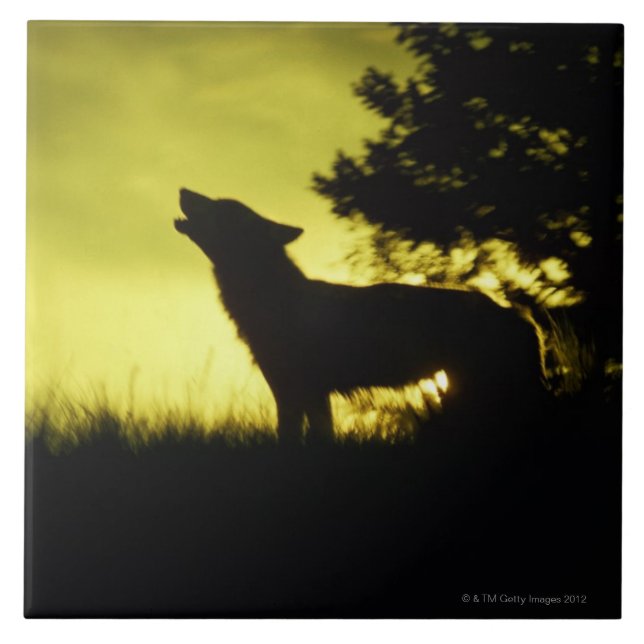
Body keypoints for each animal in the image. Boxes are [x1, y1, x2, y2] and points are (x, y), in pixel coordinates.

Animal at [175, 188, 546, 445]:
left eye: (219, 206)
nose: (182, 190)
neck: (271, 298)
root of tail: (520, 317)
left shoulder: (298, 392)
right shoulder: (305, 394)